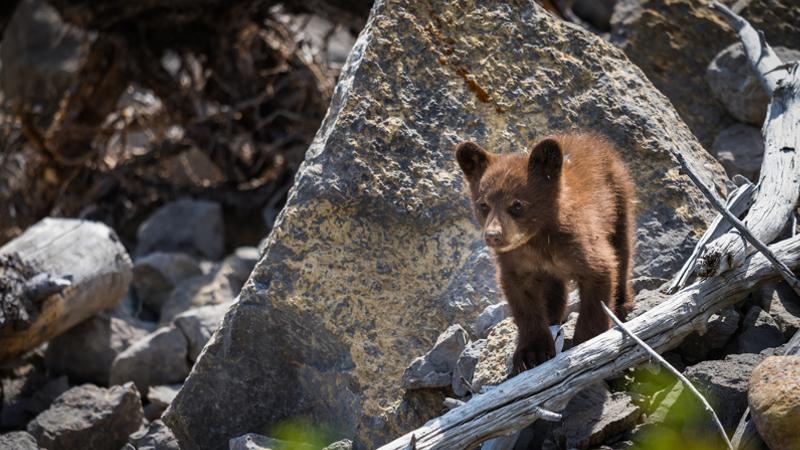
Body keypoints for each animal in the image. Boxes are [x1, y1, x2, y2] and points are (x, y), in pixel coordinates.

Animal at [454, 132, 635, 373]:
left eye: (517, 204)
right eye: (483, 204)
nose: (493, 235)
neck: (536, 240)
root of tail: (594, 139)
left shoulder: (581, 242)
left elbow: (599, 276)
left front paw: (589, 339)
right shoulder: (516, 262)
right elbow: (523, 301)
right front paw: (532, 353)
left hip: (618, 199)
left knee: (622, 250)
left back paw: (622, 302)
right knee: (554, 290)